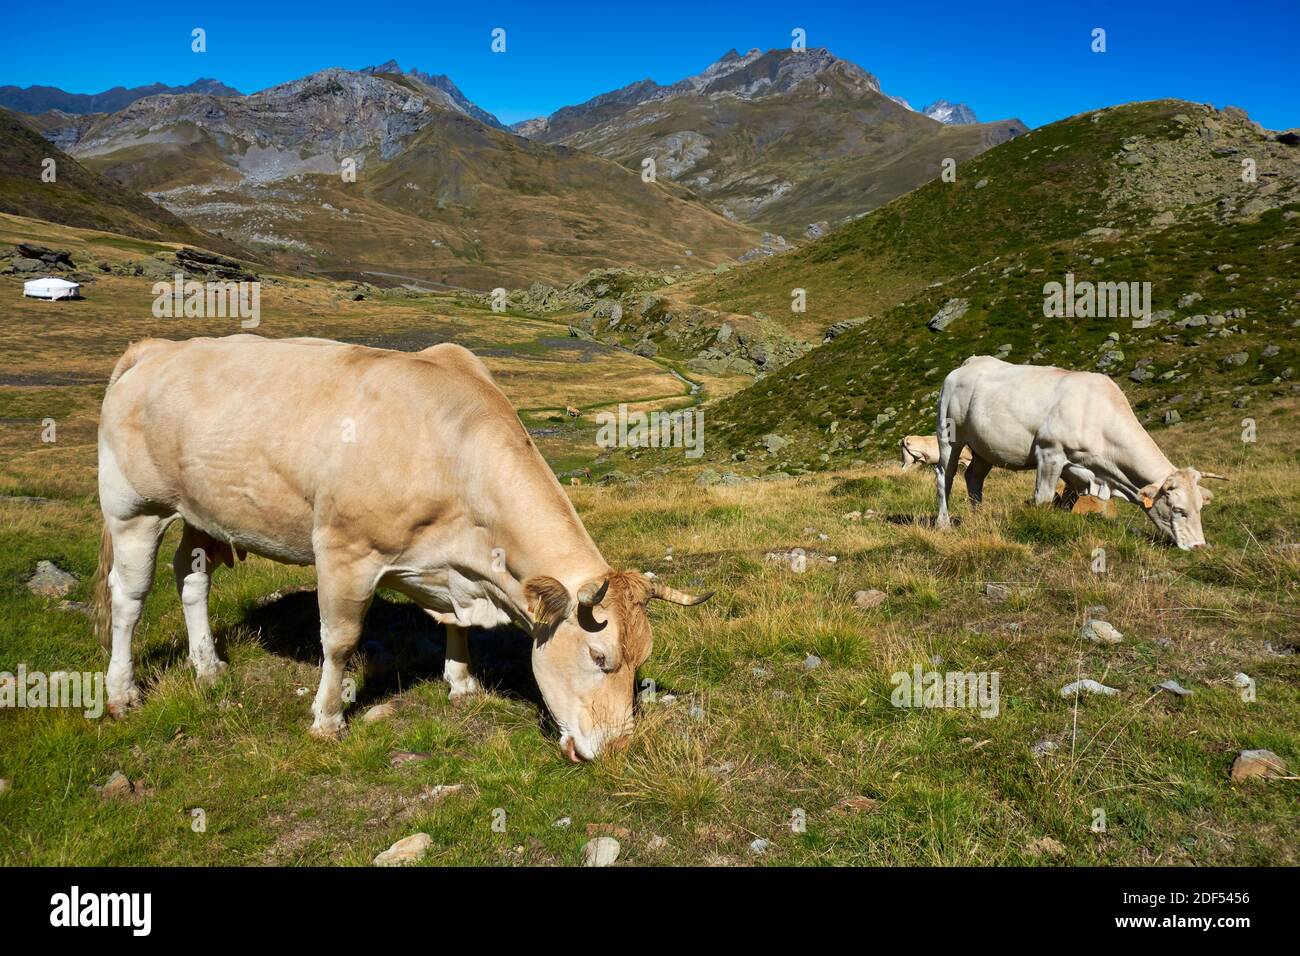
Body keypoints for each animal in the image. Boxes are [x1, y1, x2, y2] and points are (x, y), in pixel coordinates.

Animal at [96, 335, 712, 764]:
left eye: (642, 660)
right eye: (599, 657)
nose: (620, 749)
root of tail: (158, 348)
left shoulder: (449, 569)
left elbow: (455, 627)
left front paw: (461, 683)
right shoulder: (345, 551)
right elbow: (341, 641)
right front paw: (327, 718)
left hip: (200, 513)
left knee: (191, 578)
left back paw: (208, 666)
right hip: (134, 508)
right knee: (129, 597)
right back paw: (121, 692)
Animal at [930, 356, 1222, 554]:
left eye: (1200, 508)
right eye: (1178, 509)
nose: (1199, 546)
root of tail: (970, 363)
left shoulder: (1077, 468)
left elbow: (1068, 501)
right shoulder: (1050, 453)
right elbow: (1043, 498)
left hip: (984, 449)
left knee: (974, 477)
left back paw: (977, 516)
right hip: (949, 436)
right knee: (945, 476)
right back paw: (944, 523)